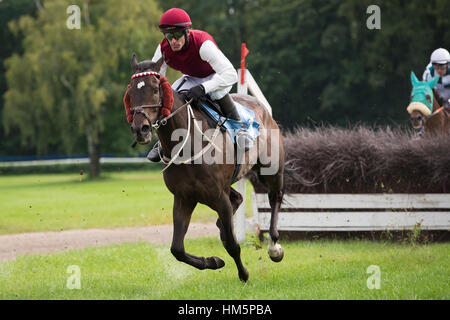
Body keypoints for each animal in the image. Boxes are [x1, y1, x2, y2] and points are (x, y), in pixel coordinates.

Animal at [125, 55, 284, 282]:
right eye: (130, 92)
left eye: (155, 89)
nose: (141, 129)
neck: (188, 143)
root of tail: (261, 108)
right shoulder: (184, 197)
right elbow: (177, 249)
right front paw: (214, 261)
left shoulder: (218, 196)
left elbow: (233, 245)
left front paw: (243, 273)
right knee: (238, 199)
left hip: (272, 169)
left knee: (275, 197)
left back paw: (274, 246)